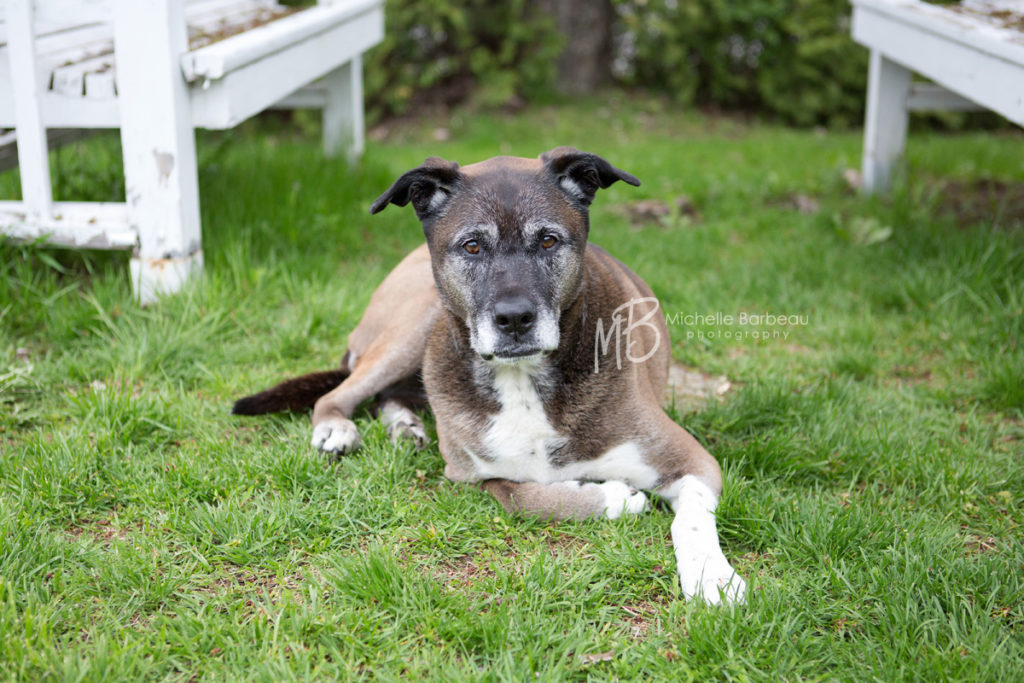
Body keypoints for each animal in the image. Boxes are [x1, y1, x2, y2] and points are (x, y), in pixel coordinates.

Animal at [232, 145, 745, 602]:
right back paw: (338, 429)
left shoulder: (692, 462)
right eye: (472, 245)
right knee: (340, 393)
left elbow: (690, 518)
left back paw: (404, 426)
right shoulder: (472, 473)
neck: (522, 381)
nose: (514, 319)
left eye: (548, 240)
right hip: (414, 323)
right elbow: (524, 497)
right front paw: (615, 498)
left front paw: (711, 577)